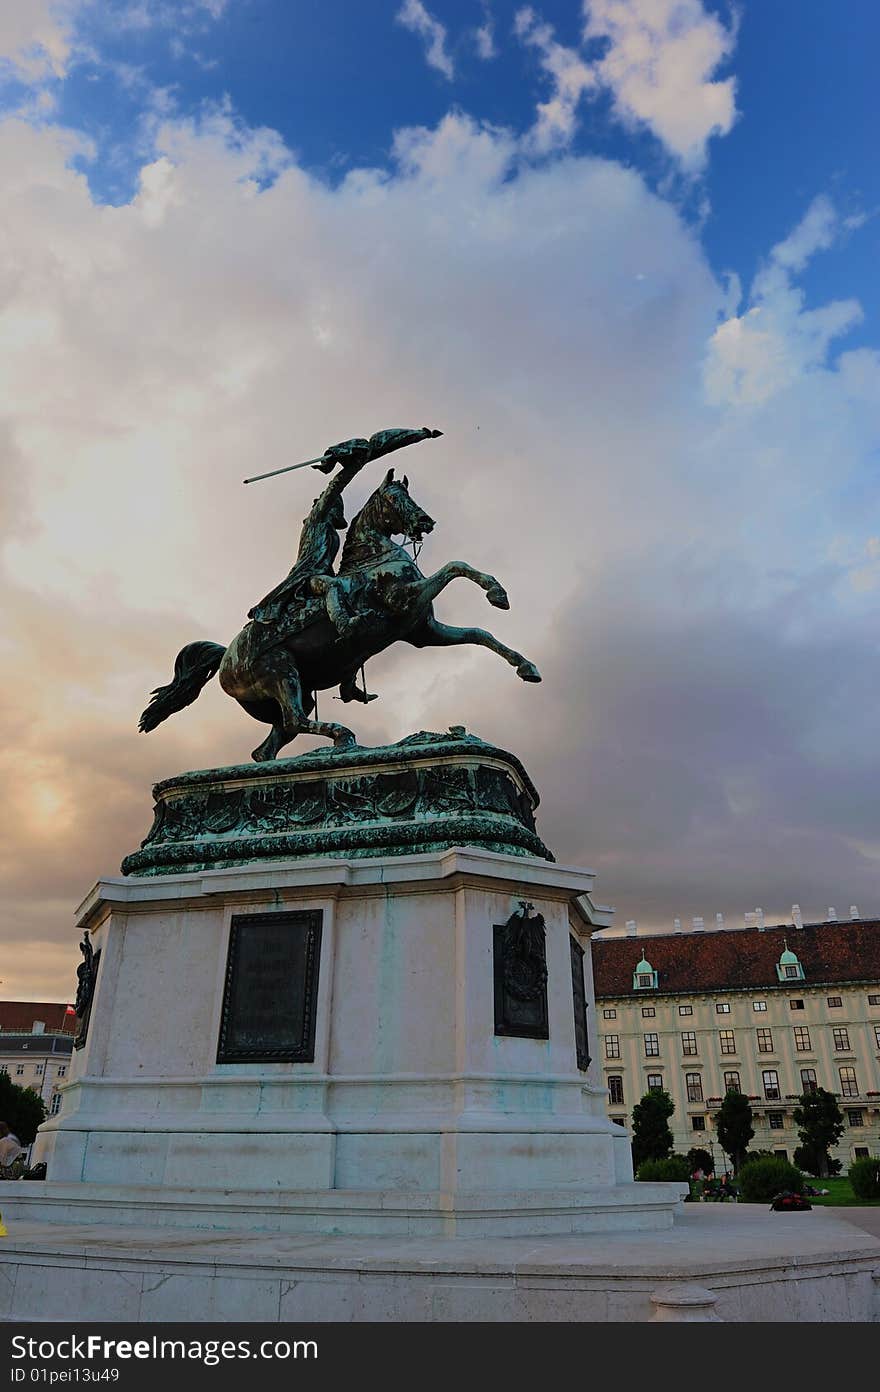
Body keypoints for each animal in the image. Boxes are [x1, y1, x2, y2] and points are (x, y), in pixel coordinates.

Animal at [138, 476, 540, 762]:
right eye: (395, 498)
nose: (426, 521)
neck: (374, 559)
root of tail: (225, 657)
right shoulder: (403, 601)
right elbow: (455, 566)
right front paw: (497, 592)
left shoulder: (422, 631)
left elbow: (480, 633)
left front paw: (526, 666)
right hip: (281, 672)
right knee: (295, 721)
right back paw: (343, 737)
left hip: (293, 690)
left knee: (269, 745)